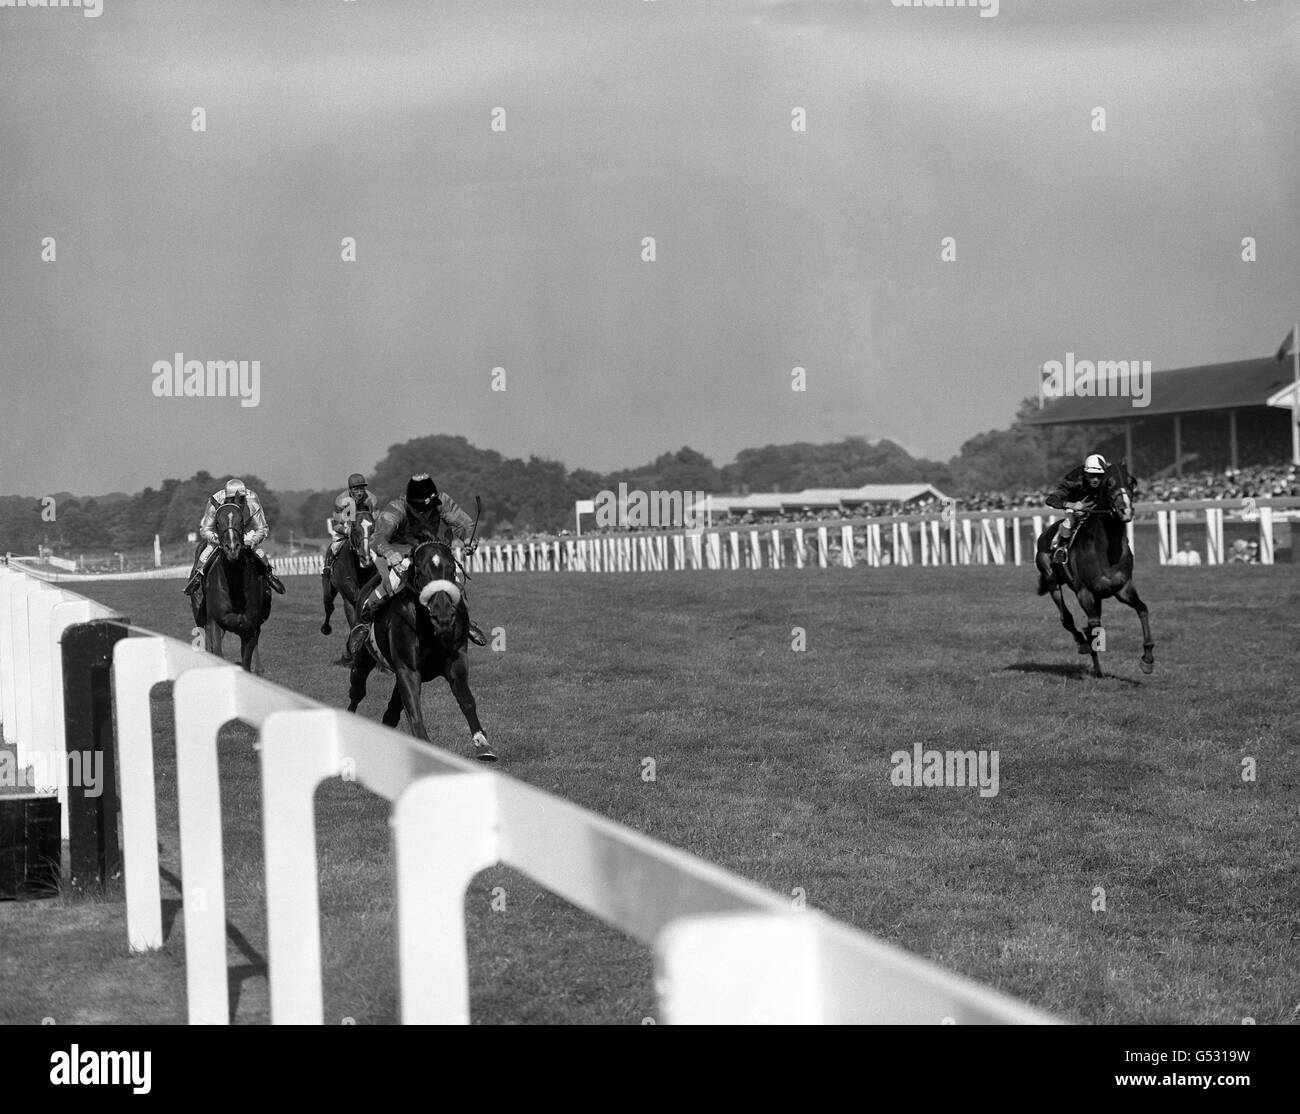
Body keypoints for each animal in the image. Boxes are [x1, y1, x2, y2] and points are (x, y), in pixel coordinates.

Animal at [189, 501, 271, 670]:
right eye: (217, 522)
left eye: (242, 520)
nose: (232, 548)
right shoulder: (215, 624)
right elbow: (217, 652)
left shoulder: (249, 629)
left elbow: (246, 662)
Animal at [343, 540, 493, 764]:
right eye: (421, 571)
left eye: (451, 568)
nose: (442, 614)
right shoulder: (408, 671)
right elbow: (414, 712)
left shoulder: (456, 661)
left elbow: (467, 700)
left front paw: (482, 743)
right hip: (363, 659)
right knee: (357, 691)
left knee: (391, 711)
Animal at [1034, 460, 1159, 675]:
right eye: (1108, 483)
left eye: (1132, 482)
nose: (1125, 510)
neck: (1106, 550)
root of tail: (1045, 534)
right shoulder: (1085, 592)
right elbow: (1093, 626)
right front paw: (1092, 652)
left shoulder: (1123, 588)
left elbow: (1142, 609)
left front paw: (1147, 659)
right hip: (1052, 581)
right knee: (1066, 617)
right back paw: (1083, 645)